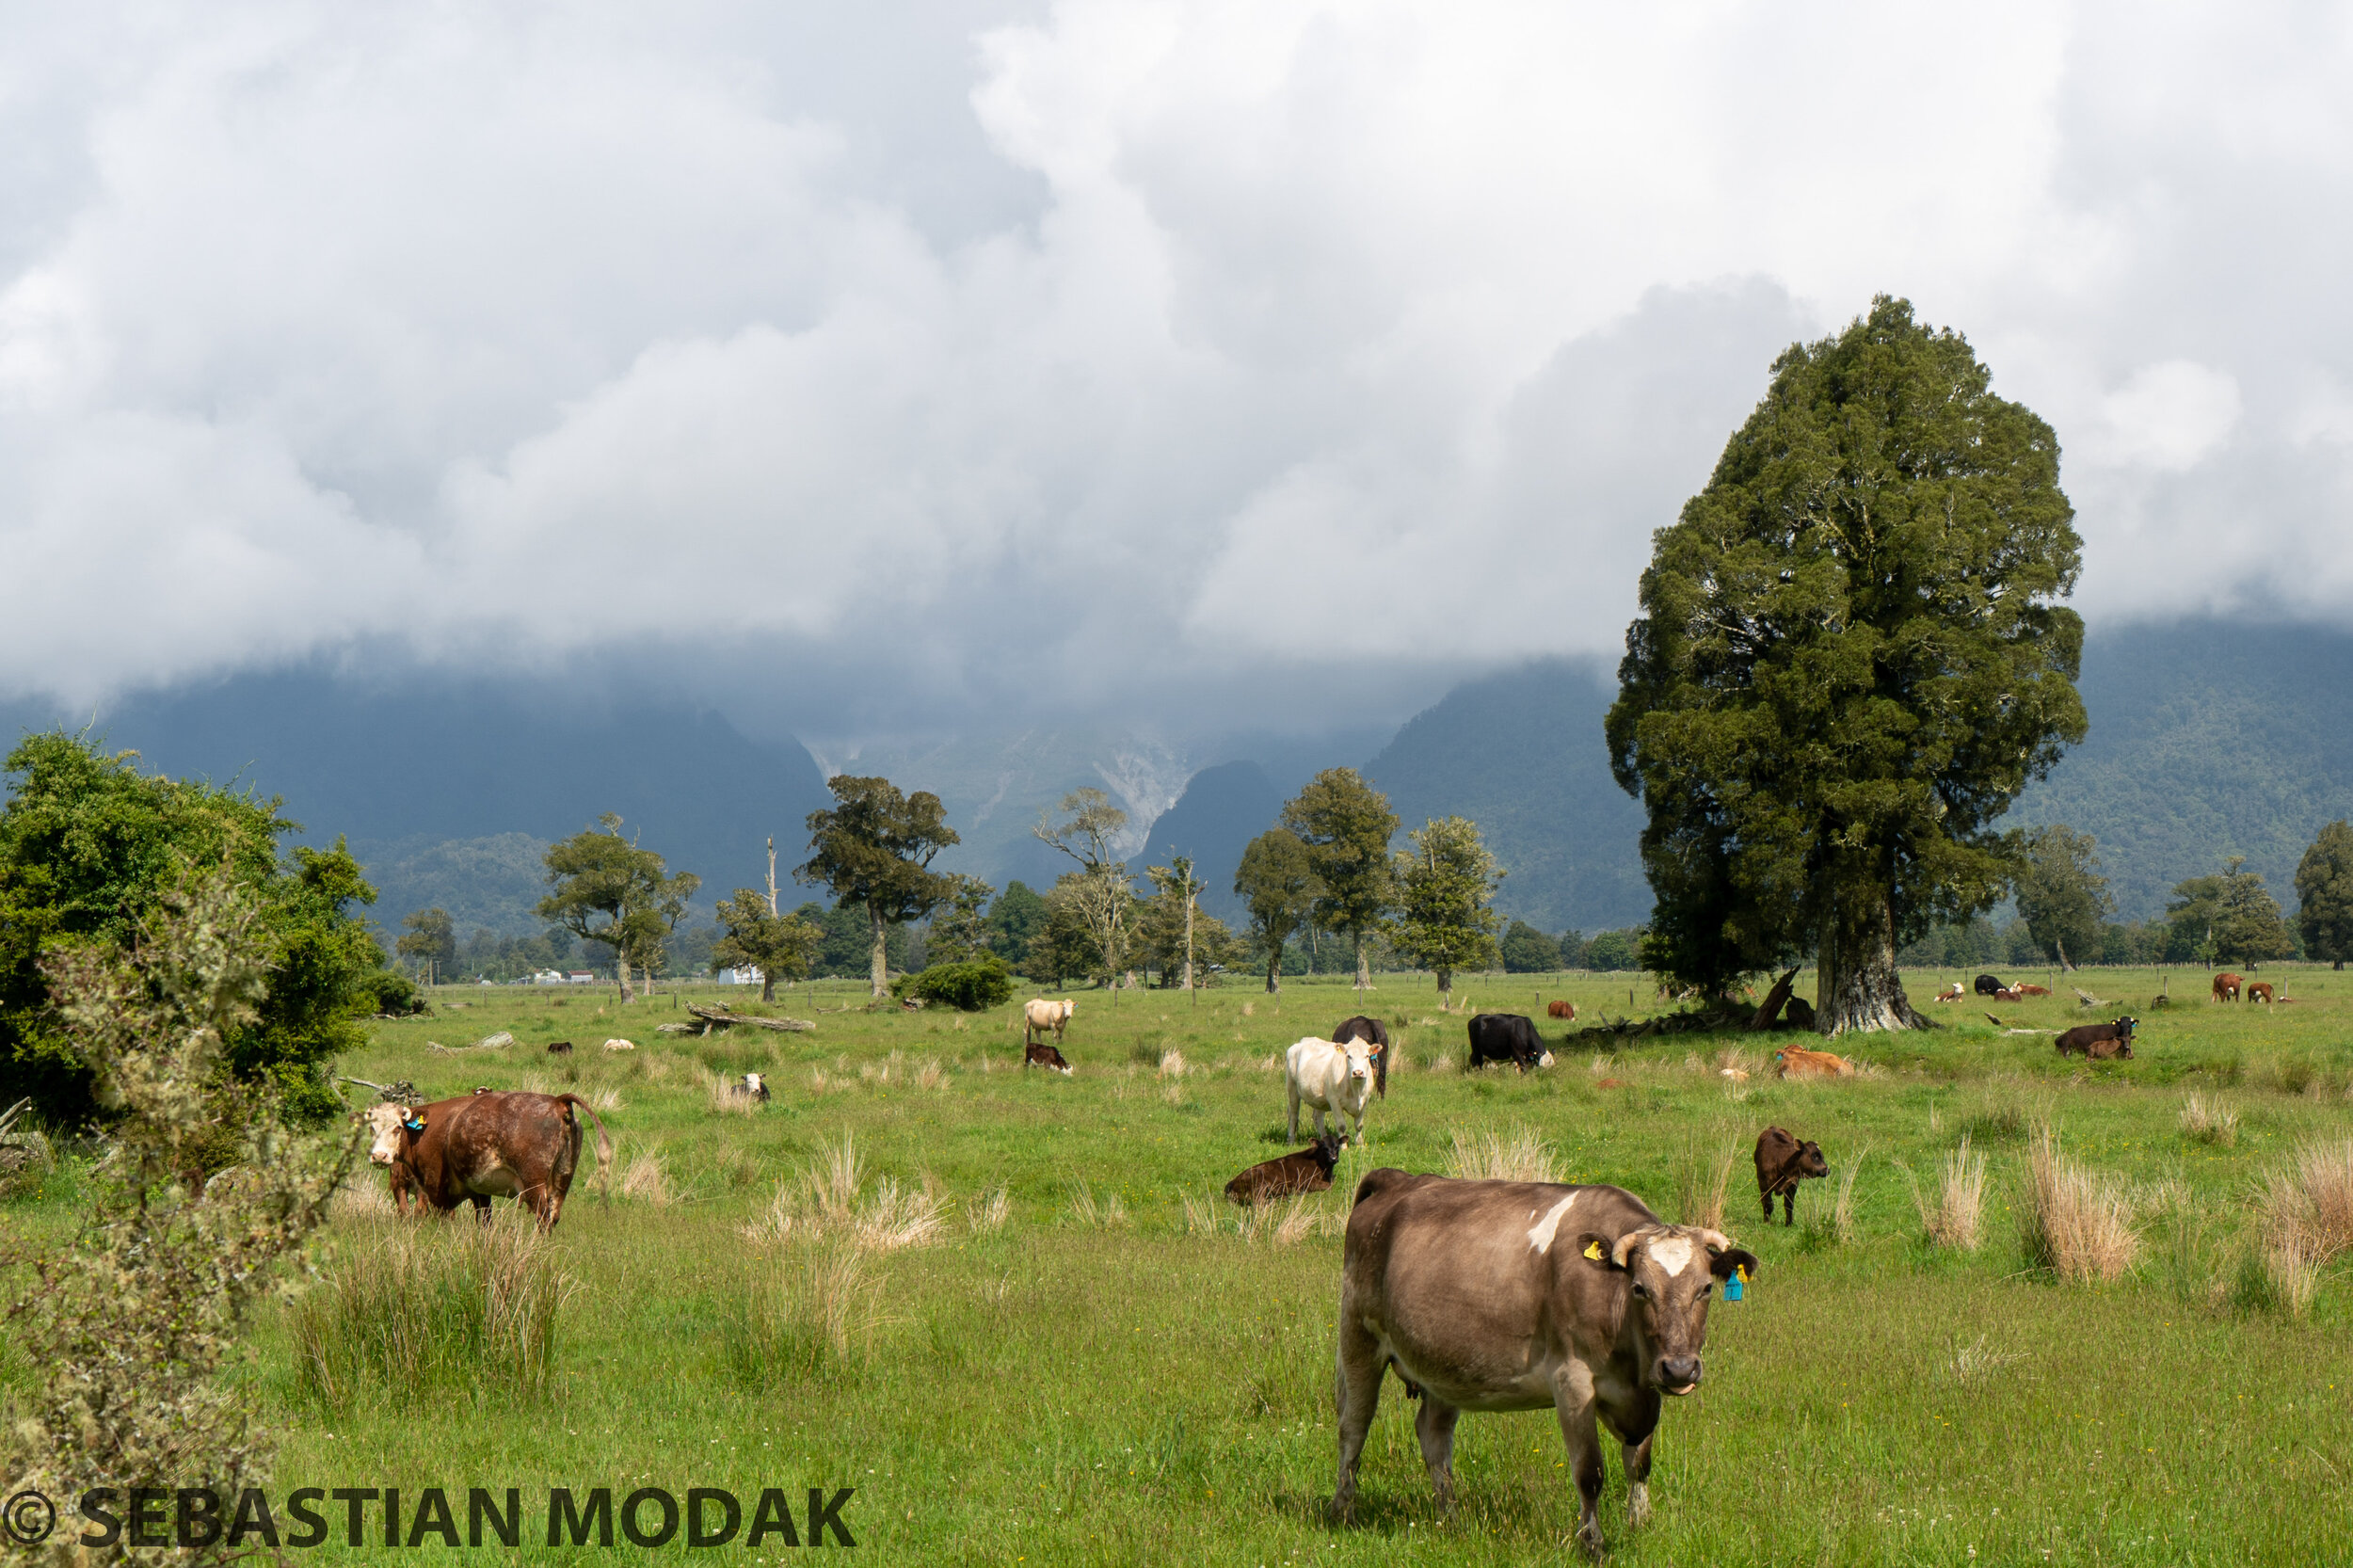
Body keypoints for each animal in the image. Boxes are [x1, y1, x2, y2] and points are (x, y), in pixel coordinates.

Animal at [362, 1082, 612, 1224]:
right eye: (371, 1127)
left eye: (397, 1128)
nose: (379, 1156)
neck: (425, 1129)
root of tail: (557, 1101)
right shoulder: (479, 1191)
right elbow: (485, 1221)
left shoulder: (435, 1189)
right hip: (562, 1180)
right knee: (553, 1216)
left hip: (534, 1185)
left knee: (542, 1218)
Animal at [1224, 1129, 1355, 1200]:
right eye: (1324, 1147)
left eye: (1337, 1146)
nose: (1333, 1158)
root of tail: (1231, 1182)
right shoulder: (1307, 1182)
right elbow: (1329, 1186)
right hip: (1259, 1186)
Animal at [1337, 1158, 1760, 1553]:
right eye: (1640, 1288)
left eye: (1706, 1288)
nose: (1680, 1369)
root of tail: (1398, 1179)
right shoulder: (1571, 1381)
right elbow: (1589, 1472)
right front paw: (1593, 1544)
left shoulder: (1645, 1392)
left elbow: (1639, 1463)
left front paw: (1640, 1525)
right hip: (1359, 1338)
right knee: (1353, 1426)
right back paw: (1343, 1512)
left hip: (1445, 1366)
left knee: (1434, 1436)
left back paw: (1450, 1518)